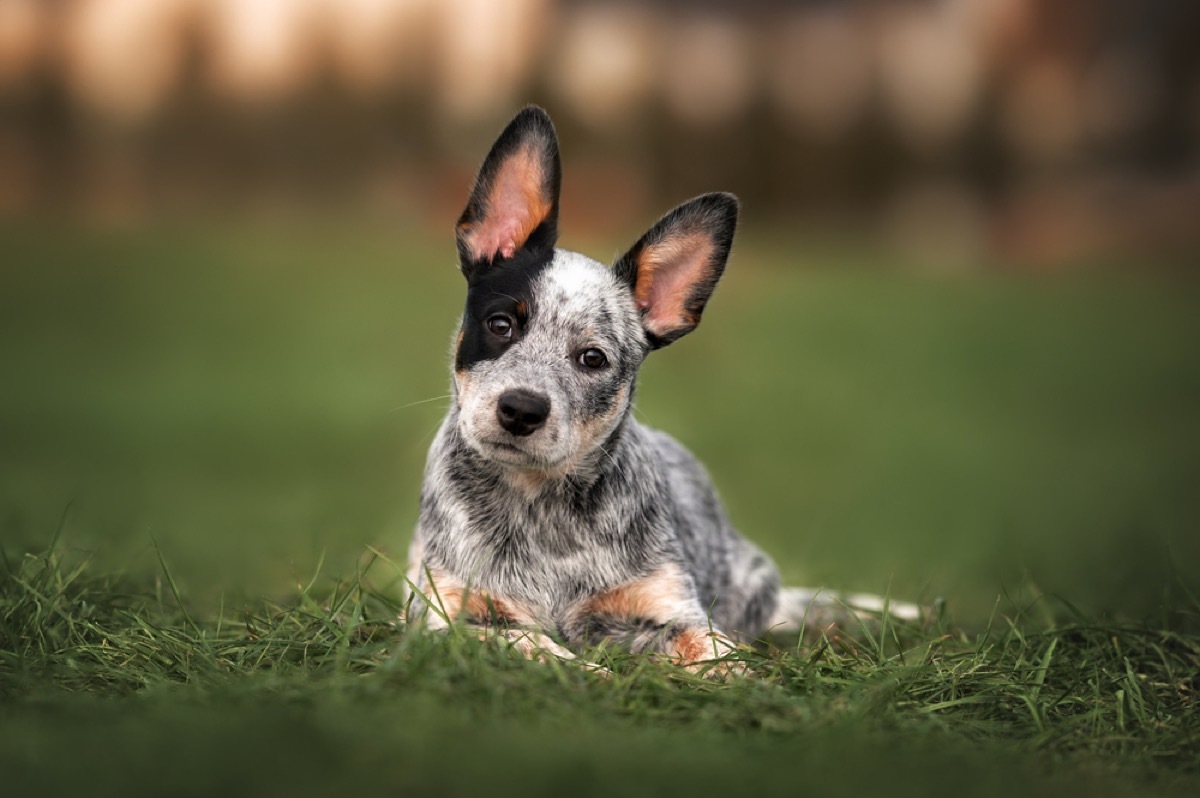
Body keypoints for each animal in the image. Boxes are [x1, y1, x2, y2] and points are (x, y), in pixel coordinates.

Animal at [405, 105, 916, 667]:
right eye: (501, 325)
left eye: (593, 358)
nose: (521, 409)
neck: (539, 510)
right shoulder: (443, 613)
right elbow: (522, 640)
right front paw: (584, 668)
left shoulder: (669, 606)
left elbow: (714, 651)